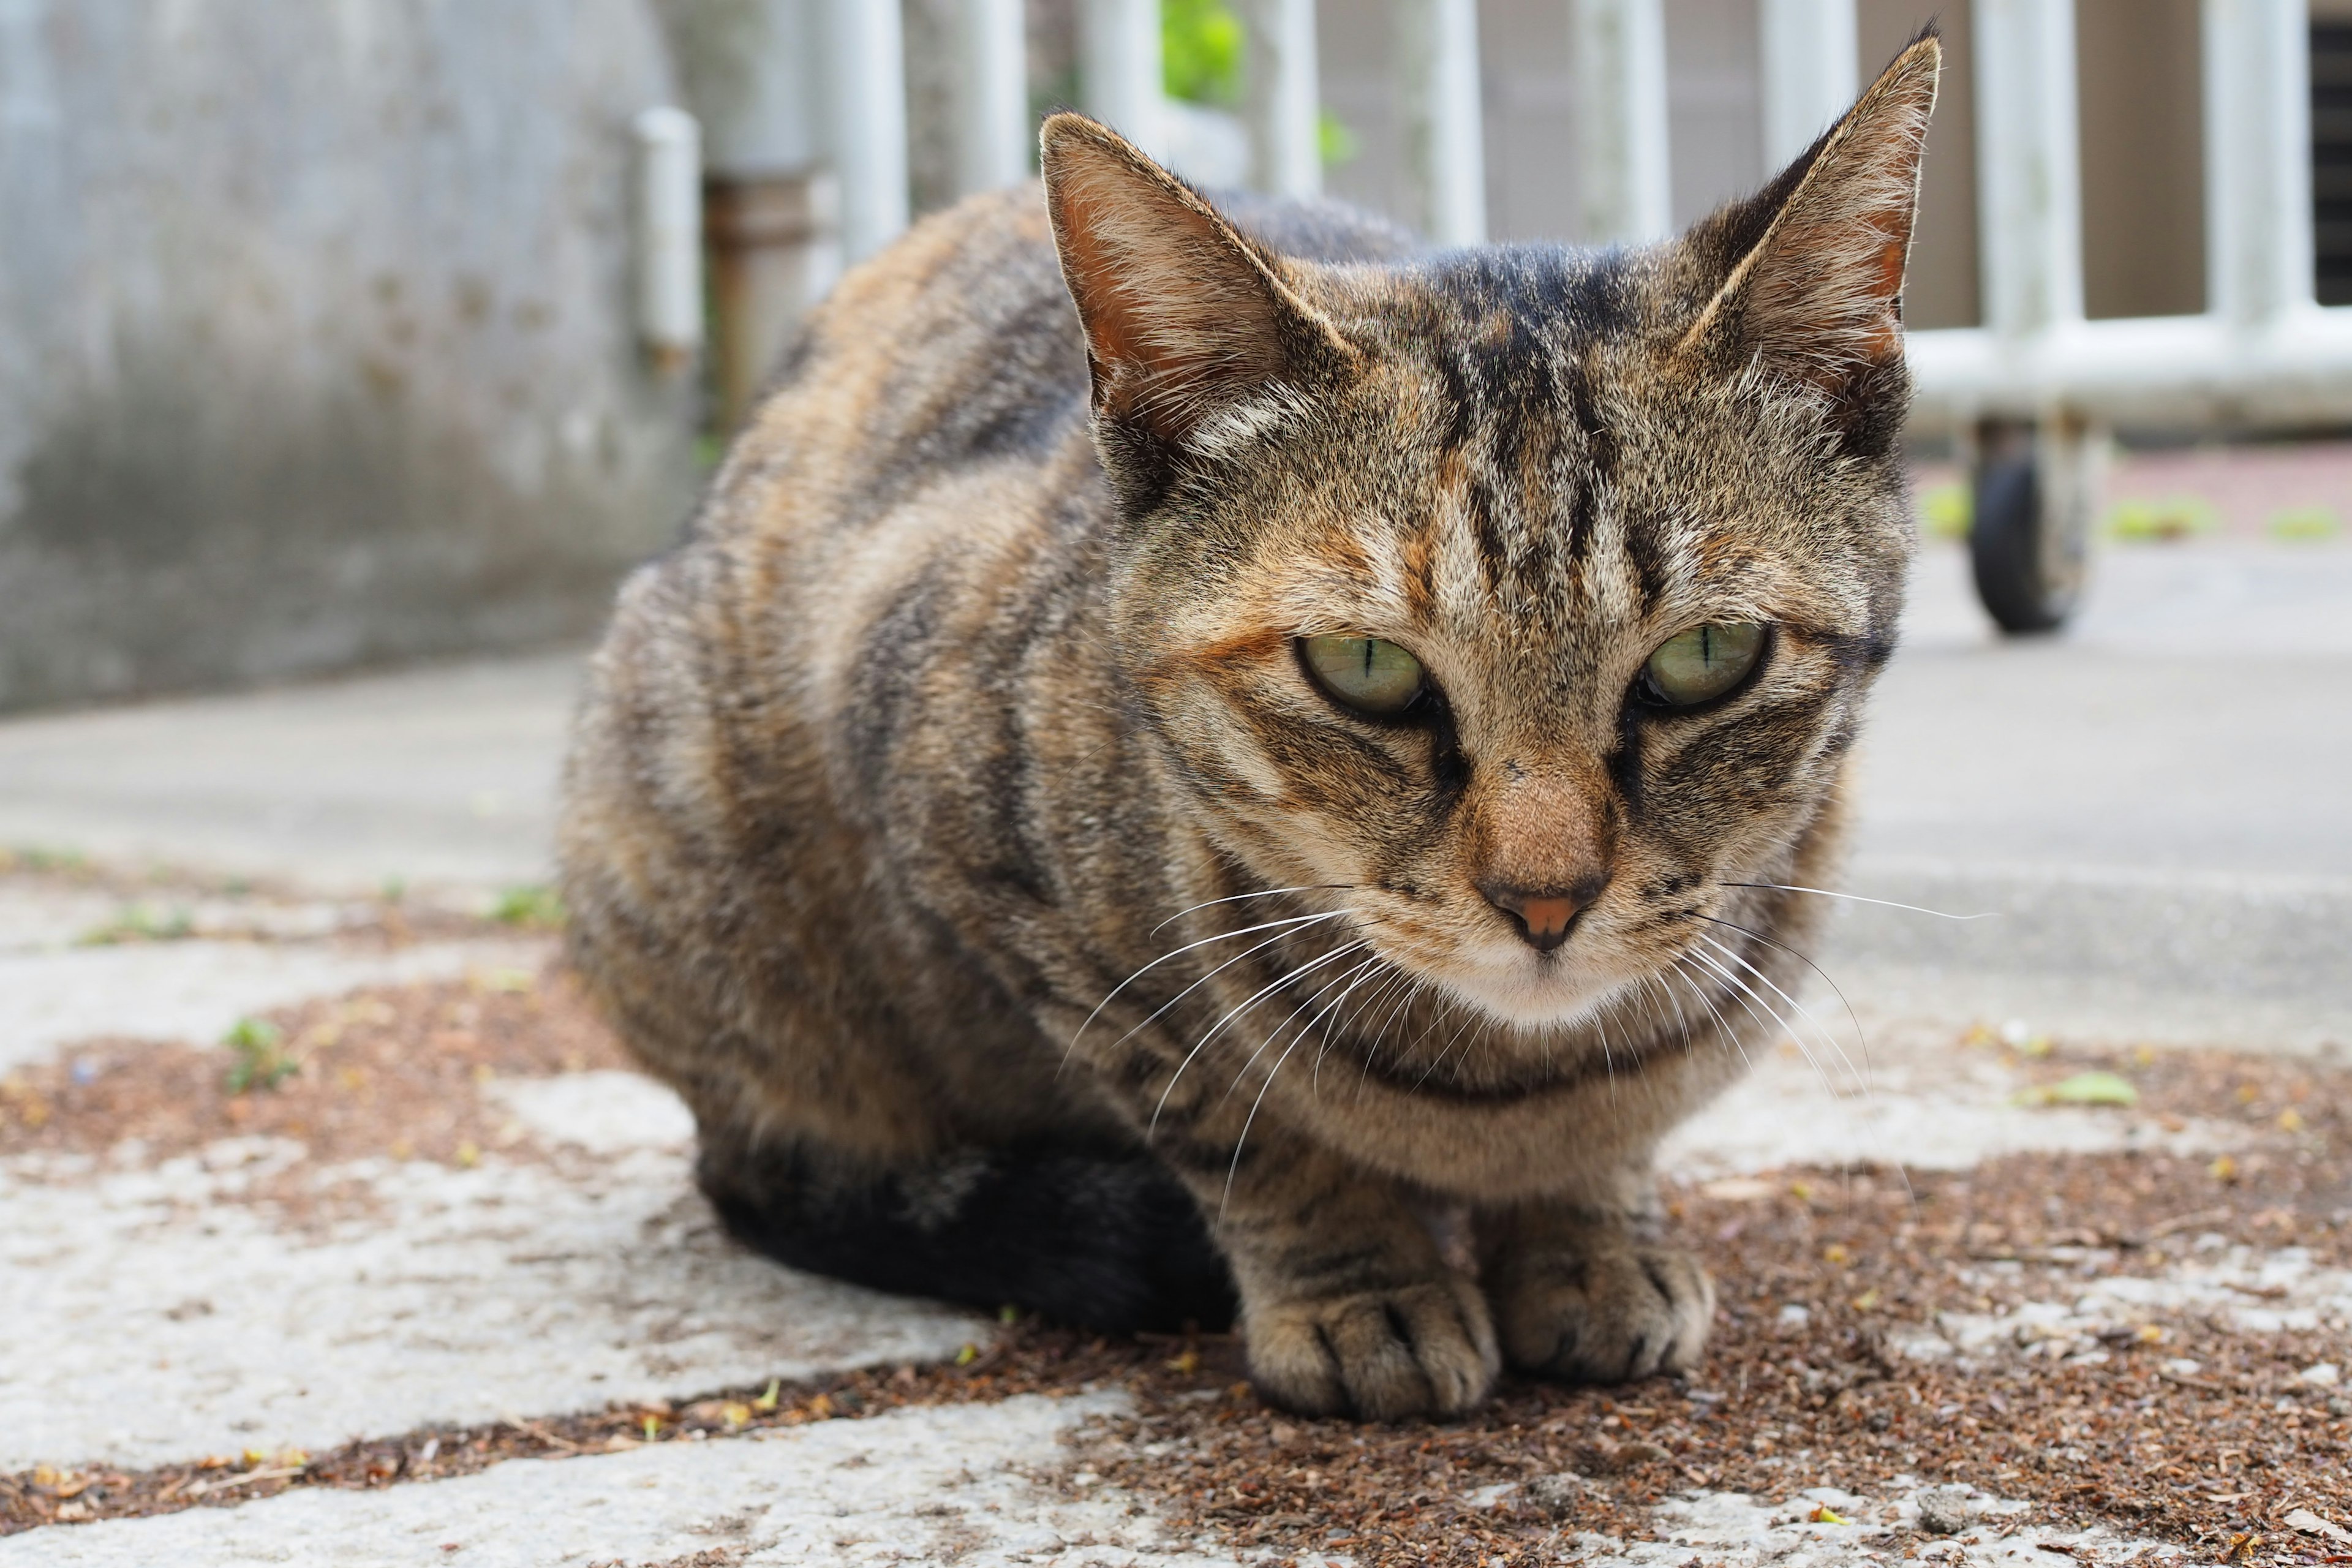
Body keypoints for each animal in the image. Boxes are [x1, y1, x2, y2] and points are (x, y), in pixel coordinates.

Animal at [559, 36, 1938, 1420]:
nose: (1546, 899)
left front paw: (1593, 1237)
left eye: (1706, 659)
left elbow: (1610, 1137)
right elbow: (1240, 1116)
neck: (1500, 1091)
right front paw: (1361, 1284)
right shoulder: (989, 866)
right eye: (1366, 667)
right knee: (754, 1172)